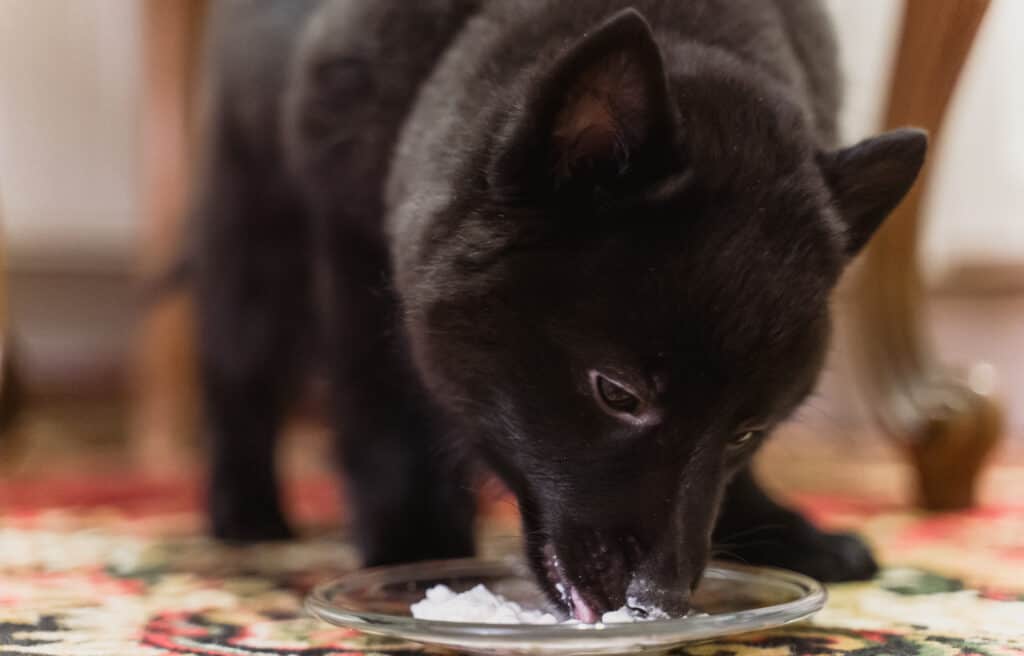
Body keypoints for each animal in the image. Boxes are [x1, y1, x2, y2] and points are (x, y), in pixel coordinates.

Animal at [193, 0, 929, 622]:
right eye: (617, 394)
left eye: (749, 430)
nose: (658, 602)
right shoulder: (353, 246)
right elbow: (388, 424)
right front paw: (418, 551)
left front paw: (782, 531)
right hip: (258, 227)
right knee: (241, 372)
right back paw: (247, 513)